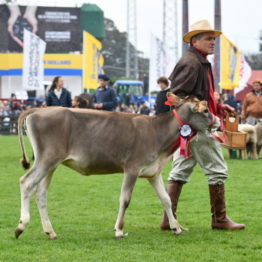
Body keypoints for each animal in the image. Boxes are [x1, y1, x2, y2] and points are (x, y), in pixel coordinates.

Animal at [14, 94, 219, 239]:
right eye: (206, 110)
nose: (218, 121)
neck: (157, 133)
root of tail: (38, 110)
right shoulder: (132, 168)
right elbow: (125, 199)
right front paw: (119, 230)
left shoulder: (153, 172)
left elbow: (166, 199)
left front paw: (176, 227)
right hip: (46, 158)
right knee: (26, 182)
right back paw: (21, 226)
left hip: (52, 164)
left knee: (41, 192)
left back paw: (50, 231)